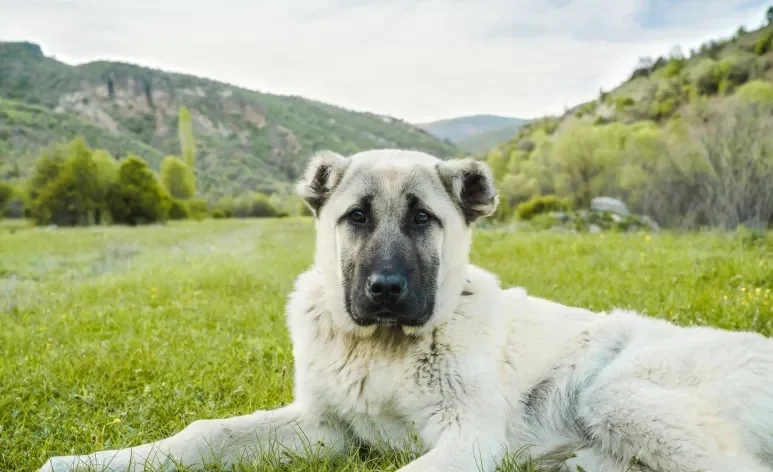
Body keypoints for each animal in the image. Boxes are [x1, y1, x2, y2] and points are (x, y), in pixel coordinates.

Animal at [39, 150, 772, 472]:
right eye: (356, 218)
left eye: (423, 220)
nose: (385, 288)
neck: (383, 347)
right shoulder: (325, 428)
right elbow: (204, 434)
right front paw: (93, 462)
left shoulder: (470, 437)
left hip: (618, 396)